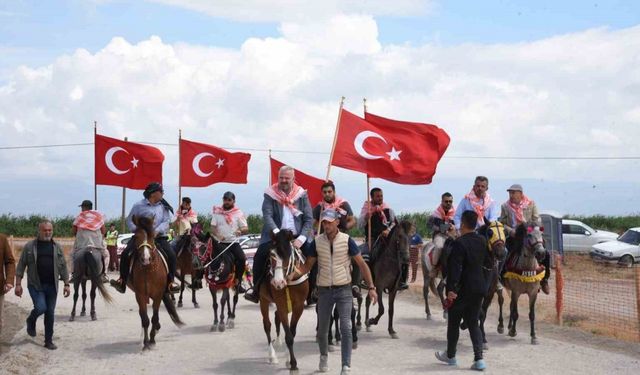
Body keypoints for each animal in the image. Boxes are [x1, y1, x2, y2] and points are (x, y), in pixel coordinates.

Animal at [127, 216, 182, 352]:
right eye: (137, 236)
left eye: (152, 237)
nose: (145, 259)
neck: (148, 269)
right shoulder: (140, 295)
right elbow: (145, 319)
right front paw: (146, 342)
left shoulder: (158, 295)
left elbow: (154, 317)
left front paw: (152, 340)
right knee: (142, 315)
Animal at [260, 229, 310, 370]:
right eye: (272, 255)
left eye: (289, 255)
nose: (278, 283)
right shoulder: (281, 304)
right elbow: (288, 336)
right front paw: (293, 364)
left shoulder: (299, 306)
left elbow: (291, 333)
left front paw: (289, 360)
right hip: (263, 300)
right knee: (267, 325)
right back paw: (272, 356)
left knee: (276, 318)